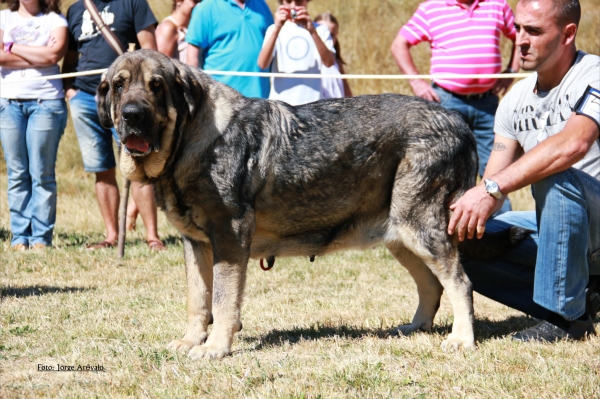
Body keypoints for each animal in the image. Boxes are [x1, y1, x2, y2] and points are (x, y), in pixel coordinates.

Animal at [101, 50, 480, 360]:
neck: (191, 138)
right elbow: (198, 298)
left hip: (420, 227)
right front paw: (191, 340)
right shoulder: (196, 244)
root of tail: (458, 122)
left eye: (157, 86)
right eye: (119, 86)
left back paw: (461, 339)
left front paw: (215, 347)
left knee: (459, 282)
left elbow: (223, 300)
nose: (132, 115)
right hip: (399, 235)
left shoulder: (230, 236)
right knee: (431, 284)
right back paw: (415, 328)